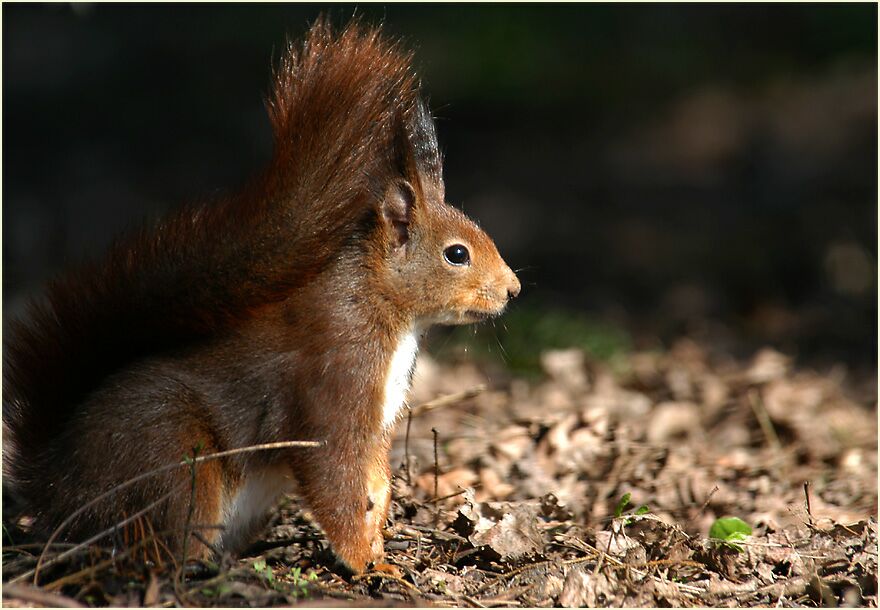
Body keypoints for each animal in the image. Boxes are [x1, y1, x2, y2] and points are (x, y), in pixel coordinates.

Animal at [2, 19, 519, 573]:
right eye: (457, 254)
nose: (513, 289)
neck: (384, 309)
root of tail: (56, 488)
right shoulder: (332, 387)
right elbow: (335, 483)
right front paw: (365, 563)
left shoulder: (378, 425)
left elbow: (375, 485)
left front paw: (381, 544)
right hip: (174, 463)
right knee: (159, 541)